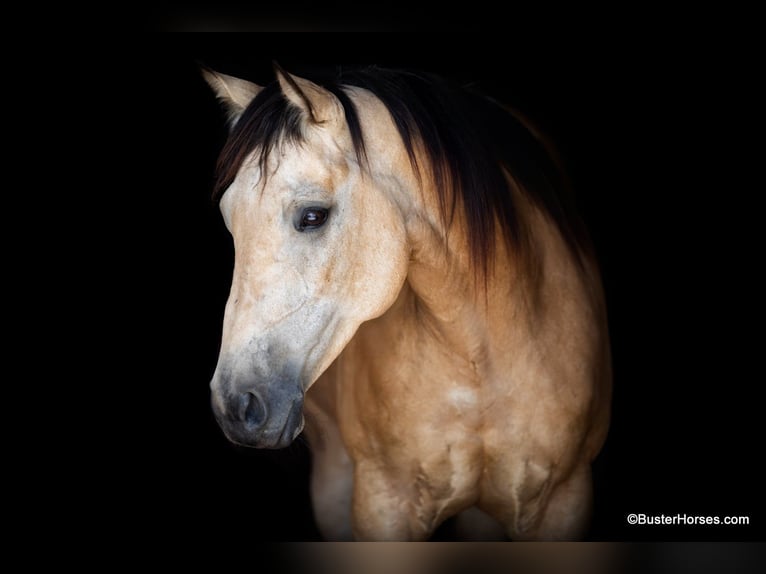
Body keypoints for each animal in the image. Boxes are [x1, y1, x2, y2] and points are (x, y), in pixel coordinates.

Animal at [202, 63, 611, 541]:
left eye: (313, 216)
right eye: (230, 221)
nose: (234, 406)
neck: (479, 355)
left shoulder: (564, 499)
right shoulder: (383, 502)